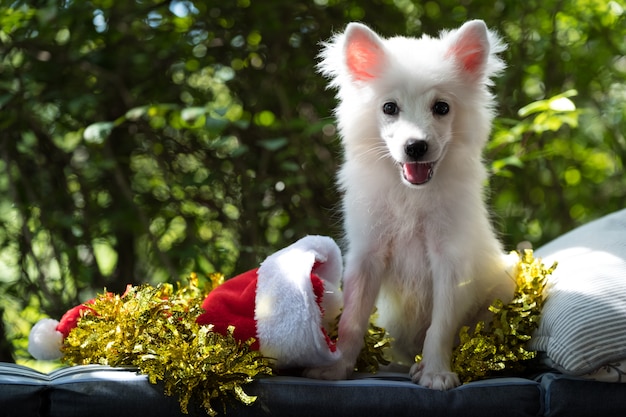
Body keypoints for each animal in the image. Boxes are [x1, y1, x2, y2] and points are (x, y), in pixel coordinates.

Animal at [304, 20, 516, 390]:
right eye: (389, 108)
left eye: (442, 108)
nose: (416, 147)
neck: (411, 195)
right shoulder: (367, 256)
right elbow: (352, 321)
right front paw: (337, 368)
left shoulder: (449, 260)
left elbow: (440, 328)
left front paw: (436, 372)